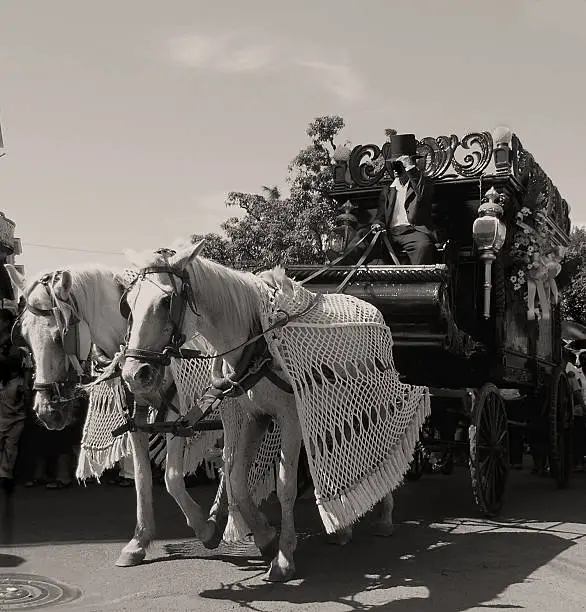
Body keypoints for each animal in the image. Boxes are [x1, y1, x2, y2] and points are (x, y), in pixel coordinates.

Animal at [7, 266, 230, 568]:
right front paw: (139, 540)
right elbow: (142, 477)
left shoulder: (178, 418)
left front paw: (205, 528)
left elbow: (172, 478)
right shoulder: (136, 422)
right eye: (25, 338)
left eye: (58, 336)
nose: (47, 411)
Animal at [121, 239, 394, 584]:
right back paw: (344, 527)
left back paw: (383, 514)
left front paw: (284, 556)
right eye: (128, 304)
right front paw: (263, 536)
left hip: (370, 400)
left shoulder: (291, 419)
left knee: (378, 445)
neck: (256, 339)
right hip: (334, 404)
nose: (134, 374)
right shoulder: (251, 416)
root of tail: (371, 308)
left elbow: (285, 486)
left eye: (166, 300)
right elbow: (235, 478)